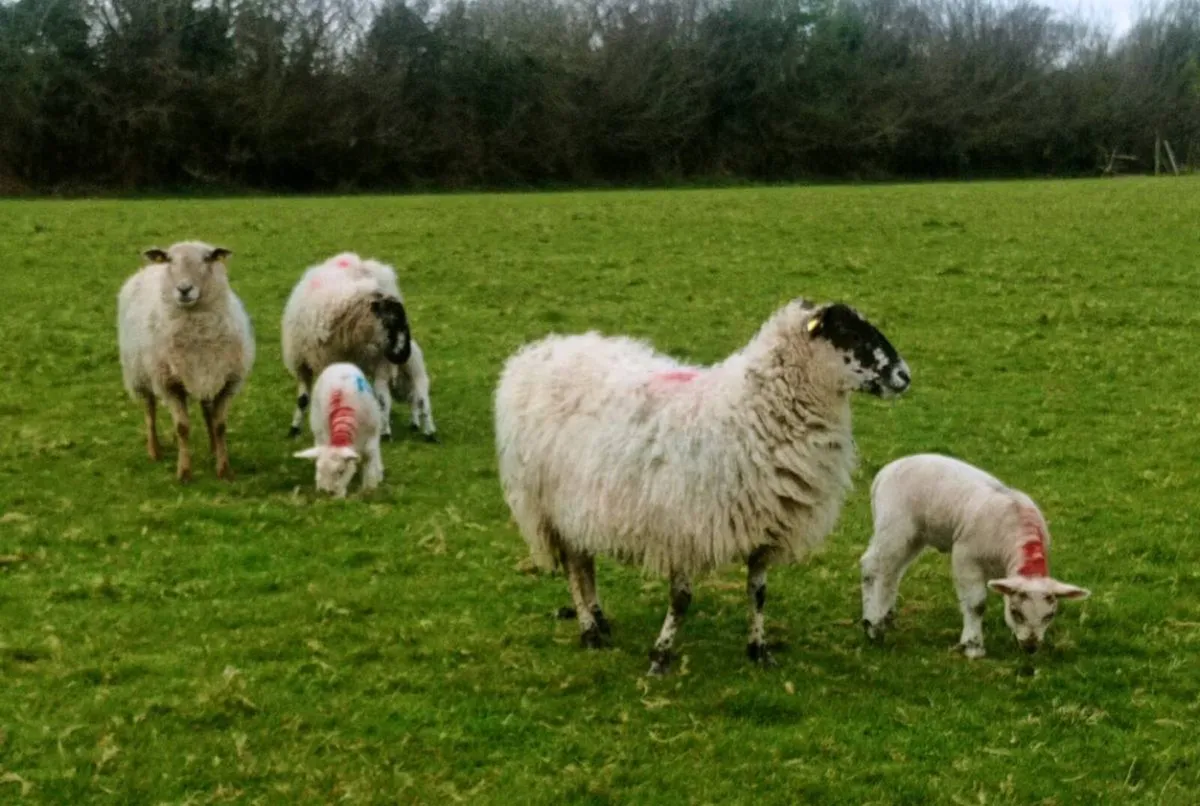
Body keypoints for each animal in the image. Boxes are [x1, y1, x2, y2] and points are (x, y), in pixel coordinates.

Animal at [117, 241, 255, 482]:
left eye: (208, 258)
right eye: (170, 259)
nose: (184, 289)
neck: (197, 335)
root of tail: (148, 268)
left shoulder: (227, 381)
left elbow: (220, 425)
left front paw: (224, 469)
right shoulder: (169, 384)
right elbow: (182, 427)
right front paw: (184, 472)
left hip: (205, 375)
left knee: (206, 411)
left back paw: (212, 448)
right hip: (140, 372)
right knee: (150, 409)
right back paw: (154, 450)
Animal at [282, 252, 436, 442]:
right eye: (391, 321)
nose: (405, 354)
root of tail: (359, 260)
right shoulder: (302, 364)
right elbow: (303, 400)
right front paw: (294, 428)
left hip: (379, 361)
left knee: (385, 397)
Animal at [293, 362, 385, 497]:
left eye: (341, 471)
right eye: (319, 468)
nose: (328, 493)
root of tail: (339, 364)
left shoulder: (372, 436)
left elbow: (369, 459)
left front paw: (369, 487)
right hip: (317, 425)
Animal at [495, 299, 911, 674]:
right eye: (848, 333)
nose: (904, 375)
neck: (752, 412)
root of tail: (538, 352)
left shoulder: (766, 527)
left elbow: (758, 593)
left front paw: (759, 650)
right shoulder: (683, 527)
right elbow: (681, 599)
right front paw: (660, 656)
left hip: (578, 504)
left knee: (585, 564)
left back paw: (600, 618)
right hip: (546, 504)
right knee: (572, 566)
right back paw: (588, 630)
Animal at [860, 454, 1090, 659]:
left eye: (1050, 615)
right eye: (1016, 612)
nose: (1031, 647)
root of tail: (883, 473)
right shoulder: (965, 556)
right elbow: (976, 604)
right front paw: (973, 646)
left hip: (915, 535)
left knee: (892, 572)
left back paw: (886, 616)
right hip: (893, 524)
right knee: (873, 566)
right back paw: (872, 623)